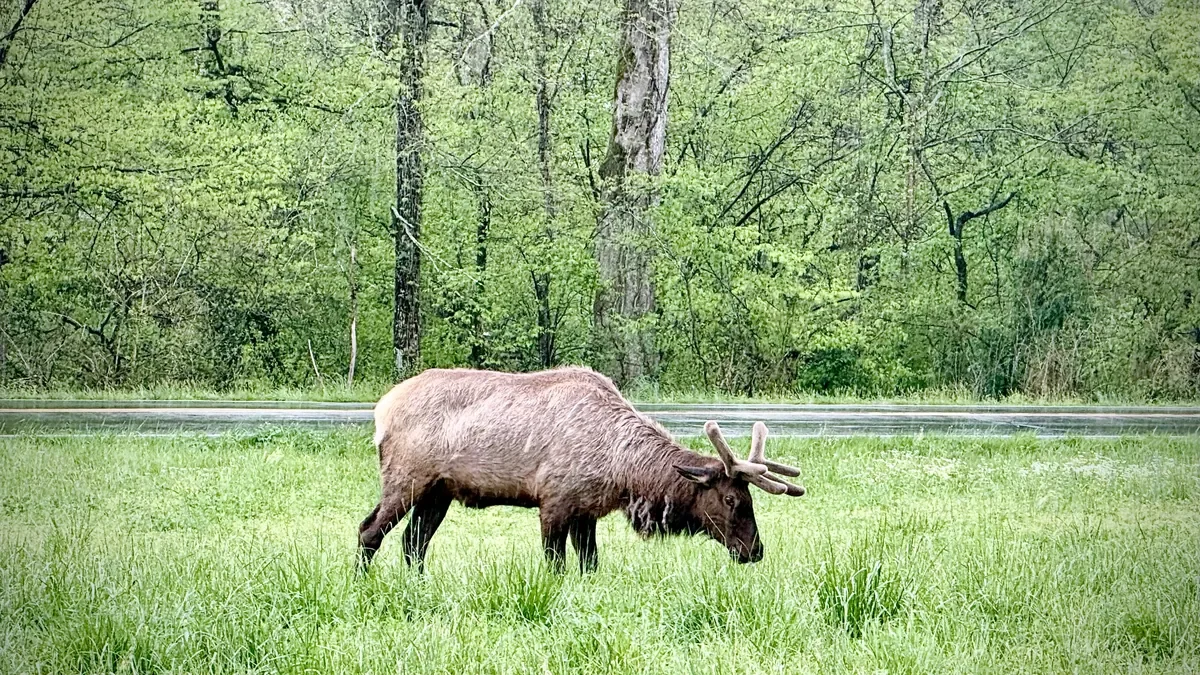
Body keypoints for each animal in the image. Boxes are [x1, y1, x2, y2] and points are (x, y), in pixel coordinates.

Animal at [357, 366, 805, 573]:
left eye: (749, 499)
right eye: (730, 499)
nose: (755, 550)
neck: (622, 472)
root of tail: (381, 409)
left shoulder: (586, 511)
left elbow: (590, 564)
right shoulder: (554, 502)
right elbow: (555, 565)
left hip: (439, 491)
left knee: (414, 543)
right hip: (406, 479)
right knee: (370, 530)